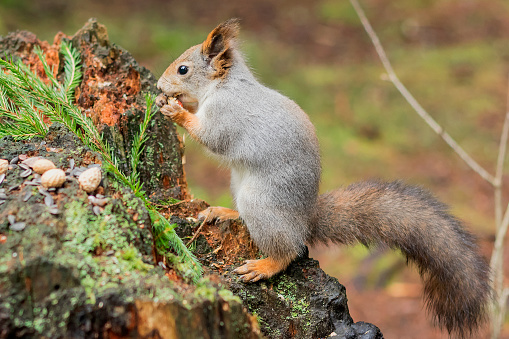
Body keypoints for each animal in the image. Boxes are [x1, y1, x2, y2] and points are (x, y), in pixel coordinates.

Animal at [154, 19, 488, 339]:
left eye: (183, 69)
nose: (158, 85)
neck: (223, 86)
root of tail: (304, 220)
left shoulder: (227, 114)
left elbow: (212, 138)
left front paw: (176, 110)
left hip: (262, 202)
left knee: (289, 249)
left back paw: (265, 265)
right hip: (240, 187)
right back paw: (224, 212)